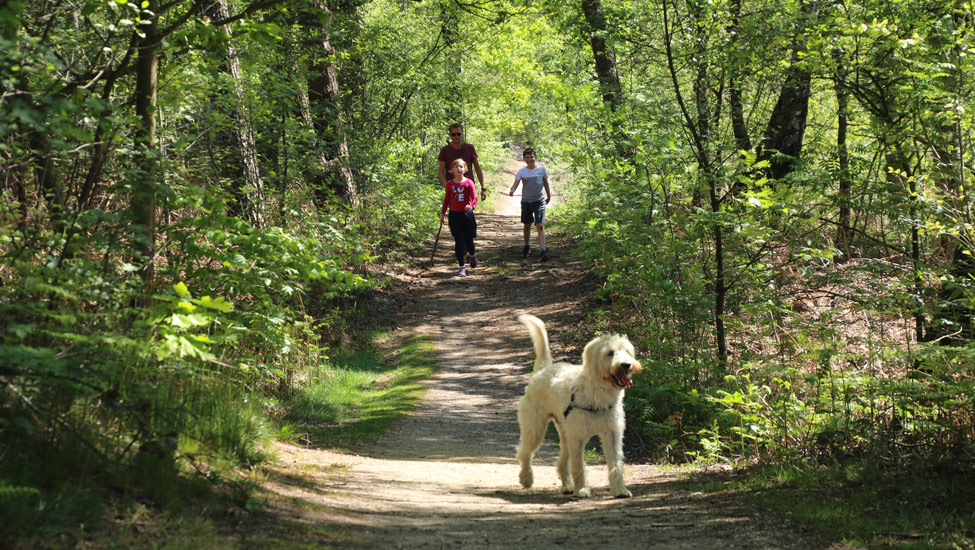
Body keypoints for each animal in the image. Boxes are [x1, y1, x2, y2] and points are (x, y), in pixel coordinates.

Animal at [516, 314, 644, 500]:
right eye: (610, 353)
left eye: (627, 351)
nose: (626, 364)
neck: (598, 393)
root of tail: (543, 370)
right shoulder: (577, 437)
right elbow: (579, 465)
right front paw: (582, 489)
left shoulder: (612, 434)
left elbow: (616, 465)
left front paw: (620, 490)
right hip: (535, 428)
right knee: (525, 453)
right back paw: (526, 478)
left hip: (564, 433)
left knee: (561, 461)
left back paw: (567, 486)